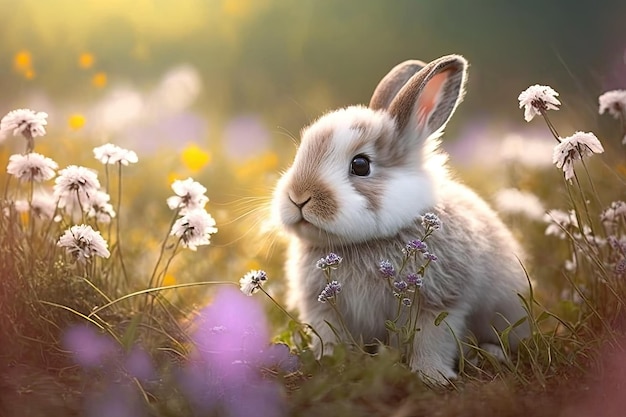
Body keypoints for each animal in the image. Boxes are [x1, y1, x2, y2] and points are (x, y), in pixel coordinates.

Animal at [270, 54, 528, 384]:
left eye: (361, 165)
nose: (299, 197)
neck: (361, 244)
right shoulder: (324, 309)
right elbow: (331, 339)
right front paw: (330, 365)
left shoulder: (438, 304)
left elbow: (431, 341)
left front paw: (432, 376)